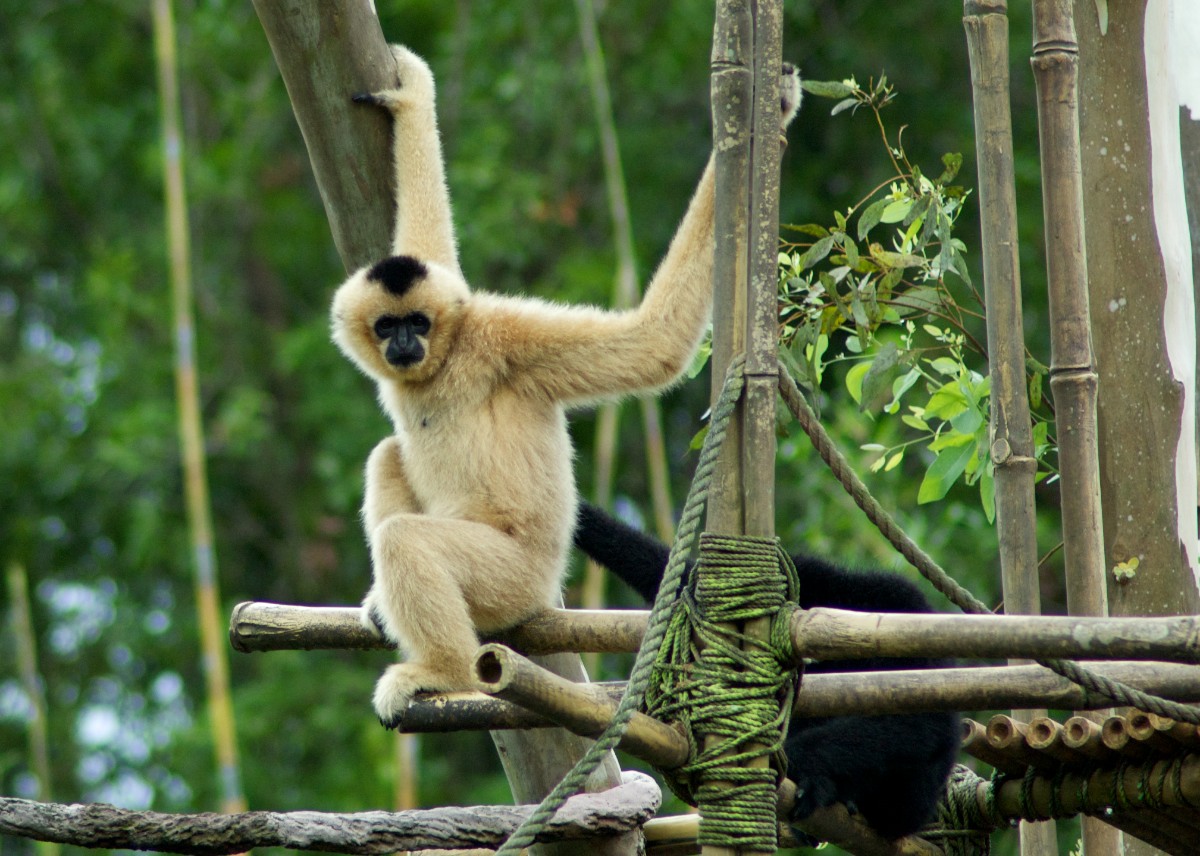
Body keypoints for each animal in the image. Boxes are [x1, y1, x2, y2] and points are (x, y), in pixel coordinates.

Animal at [330, 45, 804, 727]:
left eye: (417, 323)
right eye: (387, 324)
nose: (402, 345)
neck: (444, 362)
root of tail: (545, 586)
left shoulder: (502, 338)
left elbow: (652, 345)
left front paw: (759, 117)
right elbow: (428, 240)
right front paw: (413, 102)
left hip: (510, 578)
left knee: (408, 536)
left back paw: (443, 672)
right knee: (389, 454)